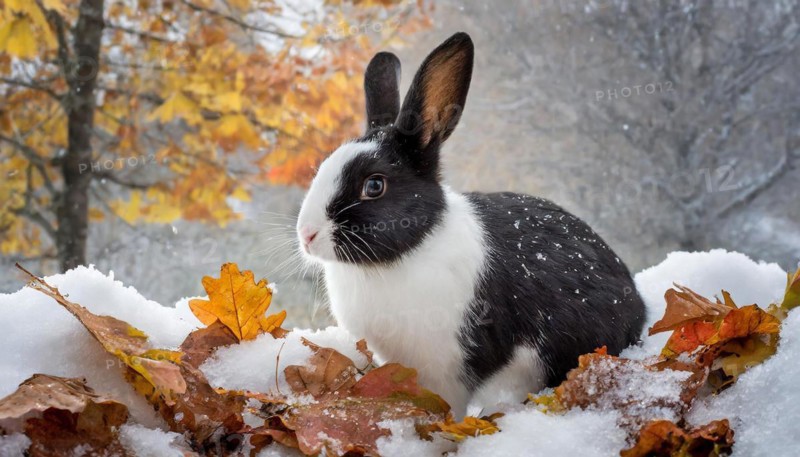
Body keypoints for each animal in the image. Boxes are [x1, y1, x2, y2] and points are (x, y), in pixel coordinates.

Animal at [296, 32, 646, 417]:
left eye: (374, 186)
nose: (307, 235)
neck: (407, 254)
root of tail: (639, 310)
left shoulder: (451, 368)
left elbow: (449, 406)